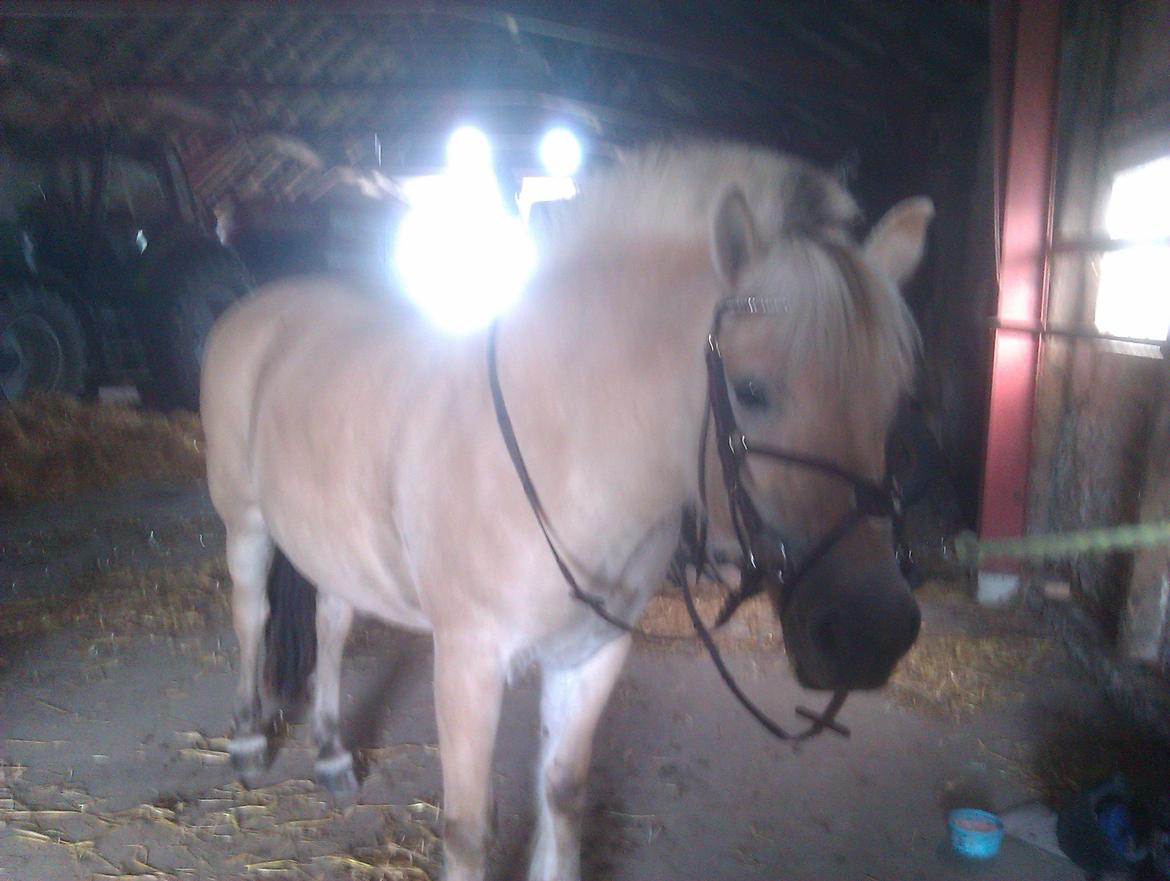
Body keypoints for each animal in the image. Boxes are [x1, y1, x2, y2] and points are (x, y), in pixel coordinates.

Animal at [199, 142, 933, 881]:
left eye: (897, 396)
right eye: (751, 390)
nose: (870, 631)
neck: (564, 449)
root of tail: (259, 307)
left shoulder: (590, 656)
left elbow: (562, 792)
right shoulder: (467, 663)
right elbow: (468, 829)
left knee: (333, 620)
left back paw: (329, 751)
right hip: (246, 523)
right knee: (252, 613)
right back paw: (248, 739)